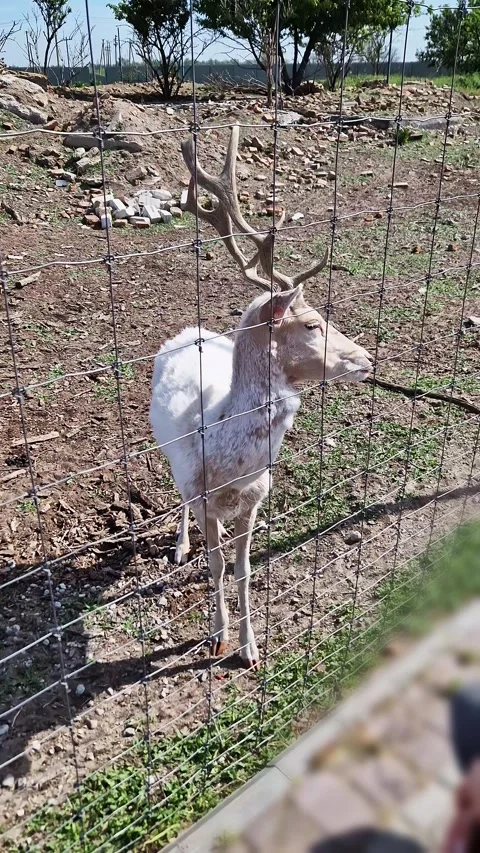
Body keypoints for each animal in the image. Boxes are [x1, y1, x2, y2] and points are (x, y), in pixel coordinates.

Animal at [149, 126, 373, 670]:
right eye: (311, 325)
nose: (367, 358)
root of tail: (187, 330)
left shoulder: (255, 499)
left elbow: (244, 569)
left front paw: (250, 648)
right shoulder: (203, 496)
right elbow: (214, 566)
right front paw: (217, 638)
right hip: (169, 458)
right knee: (176, 497)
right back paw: (179, 546)